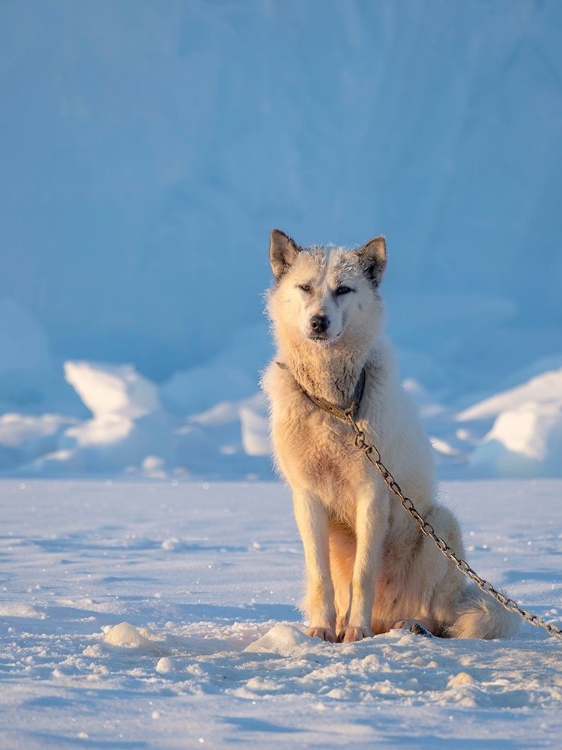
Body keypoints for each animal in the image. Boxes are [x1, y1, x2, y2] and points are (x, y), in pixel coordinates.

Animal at [262, 231, 516, 648]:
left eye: (343, 289)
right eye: (305, 288)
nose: (318, 322)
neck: (336, 409)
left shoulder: (373, 494)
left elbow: (363, 574)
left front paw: (355, 631)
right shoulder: (307, 498)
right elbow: (321, 578)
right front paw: (321, 630)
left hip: (439, 526)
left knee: (436, 617)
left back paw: (408, 626)